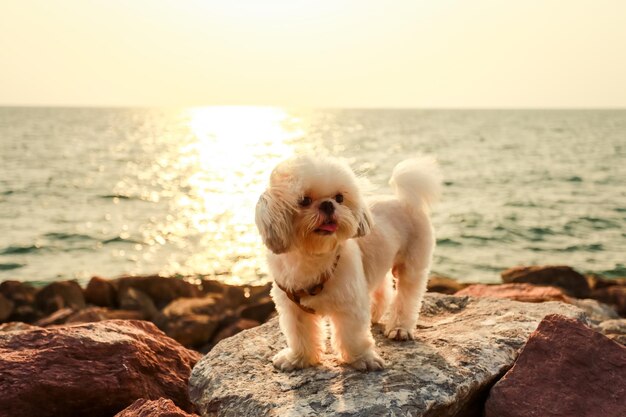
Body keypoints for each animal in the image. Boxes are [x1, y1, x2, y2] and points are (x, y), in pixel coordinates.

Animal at [254, 155, 438, 370]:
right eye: (304, 200)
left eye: (339, 198)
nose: (328, 205)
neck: (314, 257)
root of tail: (404, 199)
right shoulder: (293, 308)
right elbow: (300, 334)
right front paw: (298, 359)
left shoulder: (351, 303)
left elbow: (352, 335)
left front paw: (362, 359)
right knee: (383, 290)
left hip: (413, 263)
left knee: (408, 295)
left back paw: (400, 327)